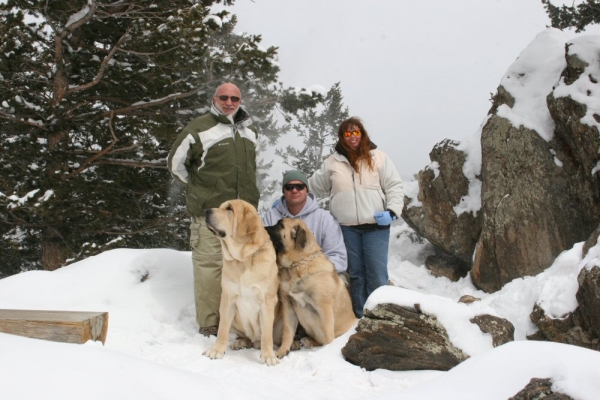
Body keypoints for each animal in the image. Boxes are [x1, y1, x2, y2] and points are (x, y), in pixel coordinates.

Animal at [203, 200, 280, 366]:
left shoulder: (267, 301)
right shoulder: (228, 298)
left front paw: (269, 356)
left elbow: (267, 334)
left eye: (229, 209)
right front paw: (217, 350)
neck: (244, 260)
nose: (206, 211)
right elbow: (222, 329)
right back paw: (241, 342)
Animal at [266, 217, 356, 358]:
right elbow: (287, 332)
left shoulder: (324, 307)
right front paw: (282, 351)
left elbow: (328, 335)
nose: (263, 226)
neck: (297, 265)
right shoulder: (288, 306)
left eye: (280, 225)